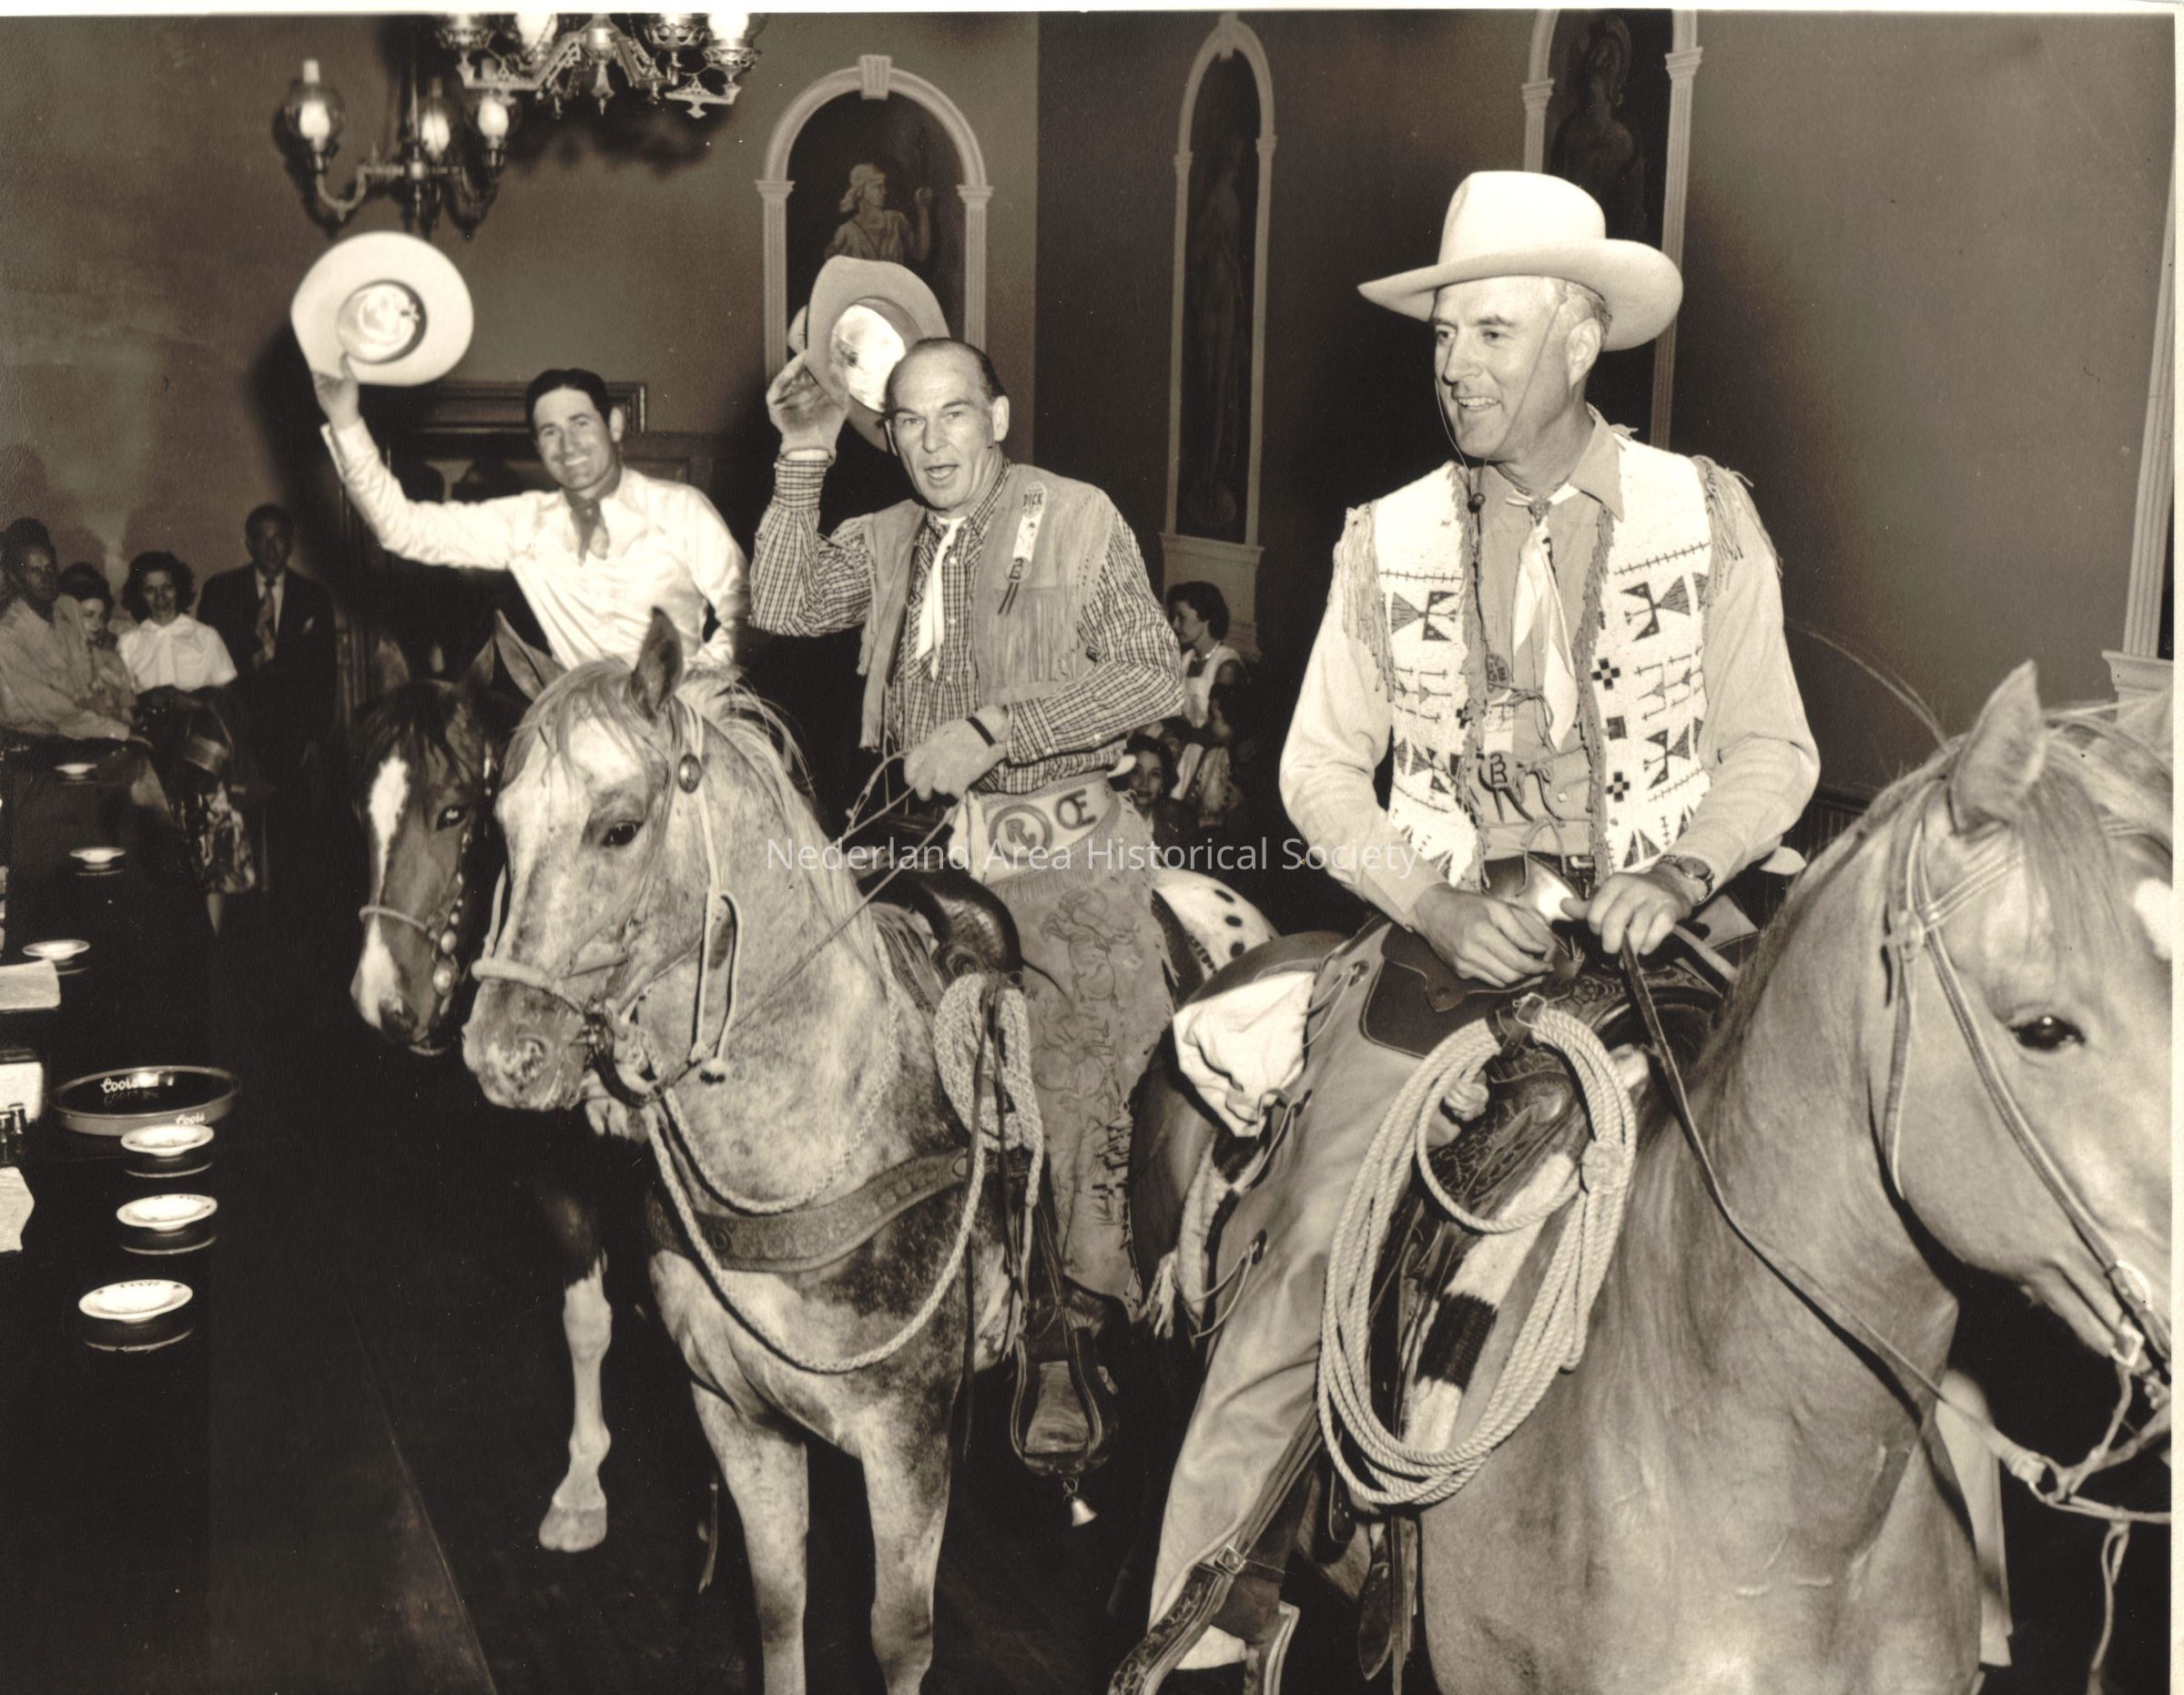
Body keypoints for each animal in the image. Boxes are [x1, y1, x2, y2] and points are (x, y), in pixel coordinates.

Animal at [347, 636, 640, 1556]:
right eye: (360, 816)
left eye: (453, 814)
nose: (381, 1001)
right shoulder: (551, 1168)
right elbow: (585, 1320)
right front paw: (583, 1482)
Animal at [460, 611, 1275, 1692]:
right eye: (499, 821)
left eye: (619, 826)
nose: (503, 1053)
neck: (812, 1133)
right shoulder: (737, 1416)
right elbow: (776, 1605)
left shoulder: (905, 1442)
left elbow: (897, 1633)